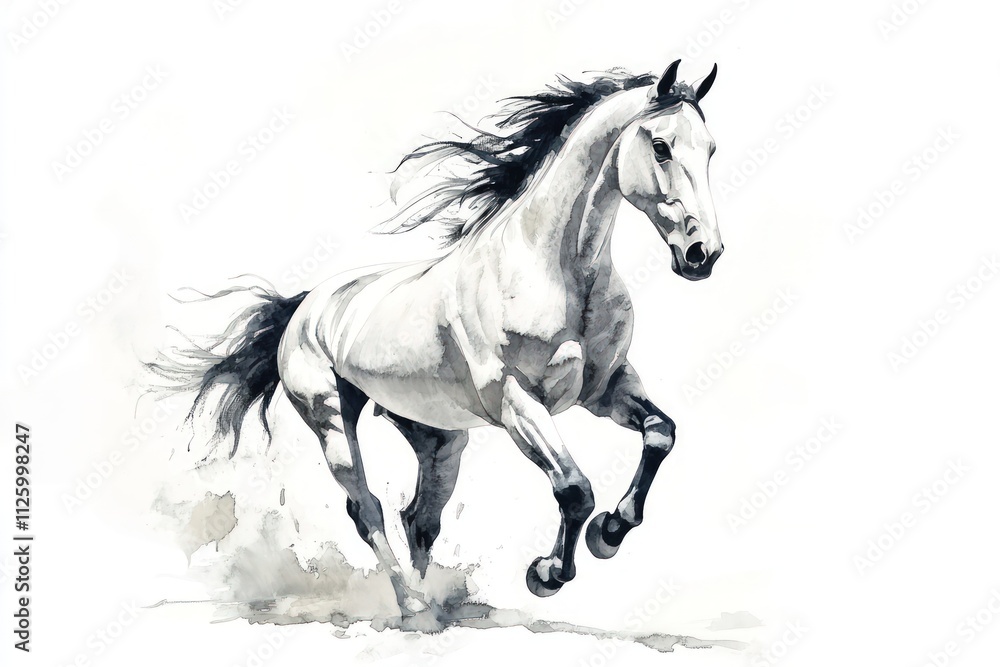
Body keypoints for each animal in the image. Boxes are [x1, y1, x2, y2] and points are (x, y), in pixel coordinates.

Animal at [152, 59, 723, 618]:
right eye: (662, 146)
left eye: (711, 149)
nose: (703, 254)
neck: (556, 271)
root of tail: (308, 303)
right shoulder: (517, 403)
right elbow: (575, 489)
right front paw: (547, 574)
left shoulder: (606, 388)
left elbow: (661, 433)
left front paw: (611, 531)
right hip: (332, 419)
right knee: (367, 508)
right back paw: (413, 604)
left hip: (440, 437)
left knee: (420, 518)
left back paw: (436, 604)